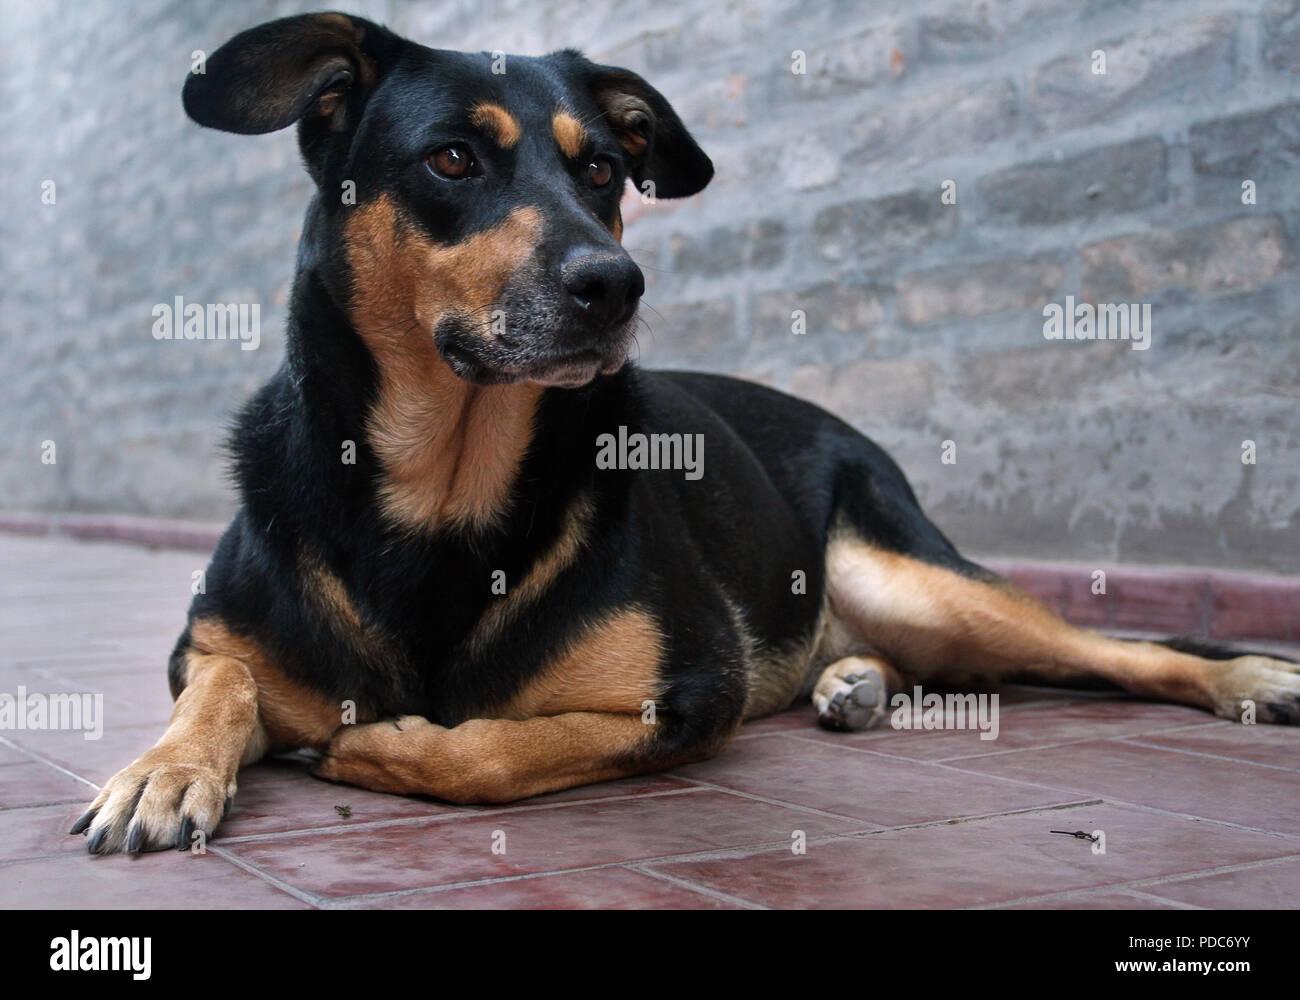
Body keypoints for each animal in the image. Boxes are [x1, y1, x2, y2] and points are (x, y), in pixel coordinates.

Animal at [76, 9, 1294, 853]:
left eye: (604, 168)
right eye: (453, 159)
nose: (614, 284)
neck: (440, 490)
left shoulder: (693, 688)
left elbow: (503, 747)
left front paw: (387, 744)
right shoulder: (210, 642)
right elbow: (225, 681)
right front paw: (161, 770)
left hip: (916, 577)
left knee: (1119, 649)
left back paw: (1252, 679)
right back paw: (850, 683)